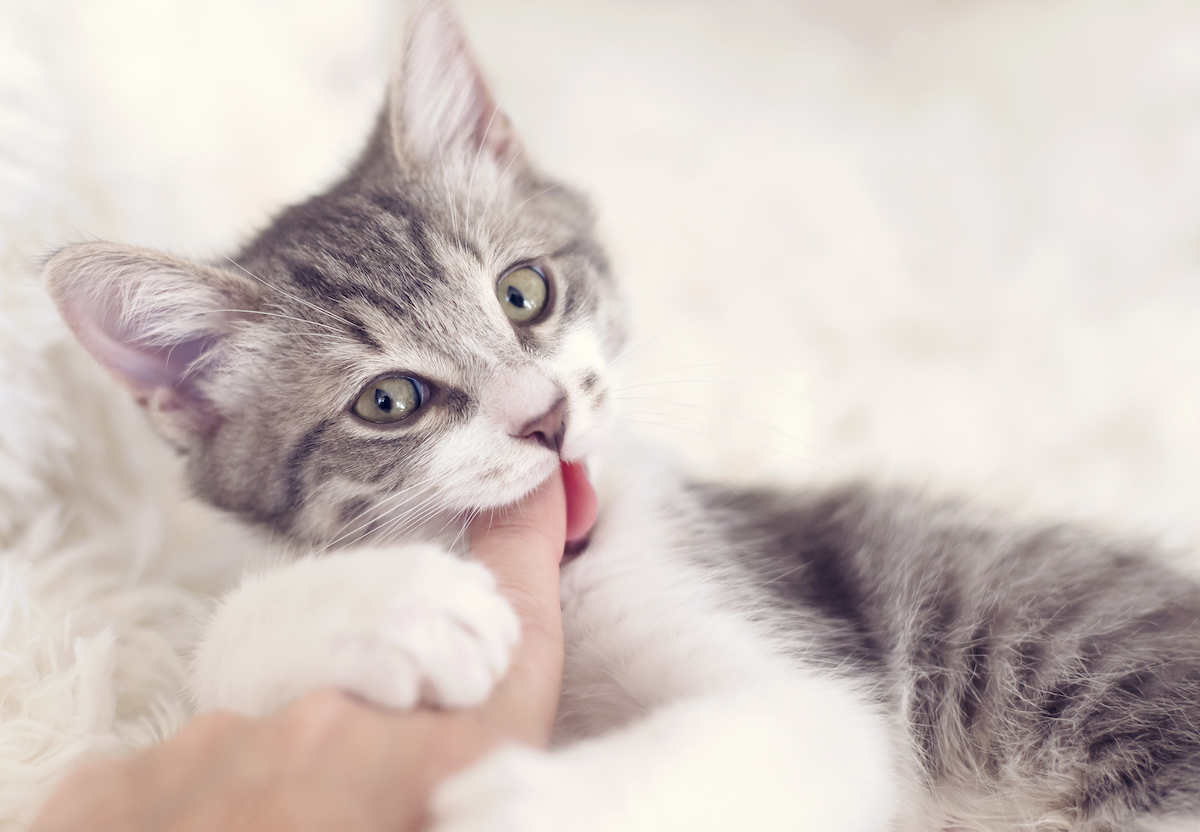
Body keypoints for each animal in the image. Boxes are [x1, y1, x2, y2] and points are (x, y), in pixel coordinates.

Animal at [42, 1, 1200, 830]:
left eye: (524, 292)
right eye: (389, 400)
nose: (546, 415)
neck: (567, 567)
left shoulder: (817, 680)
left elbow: (789, 734)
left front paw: (519, 805)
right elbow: (216, 664)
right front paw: (384, 607)